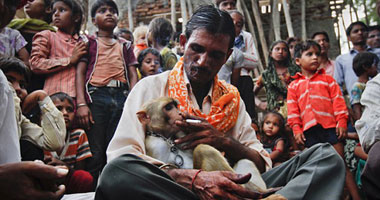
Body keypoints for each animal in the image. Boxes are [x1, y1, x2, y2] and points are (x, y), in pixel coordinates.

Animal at [137, 96, 284, 199]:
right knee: (203, 150)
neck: (168, 138)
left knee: (243, 160)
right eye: (168, 107)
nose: (179, 113)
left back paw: (262, 192)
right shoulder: (155, 146)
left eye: (174, 106)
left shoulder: (182, 133)